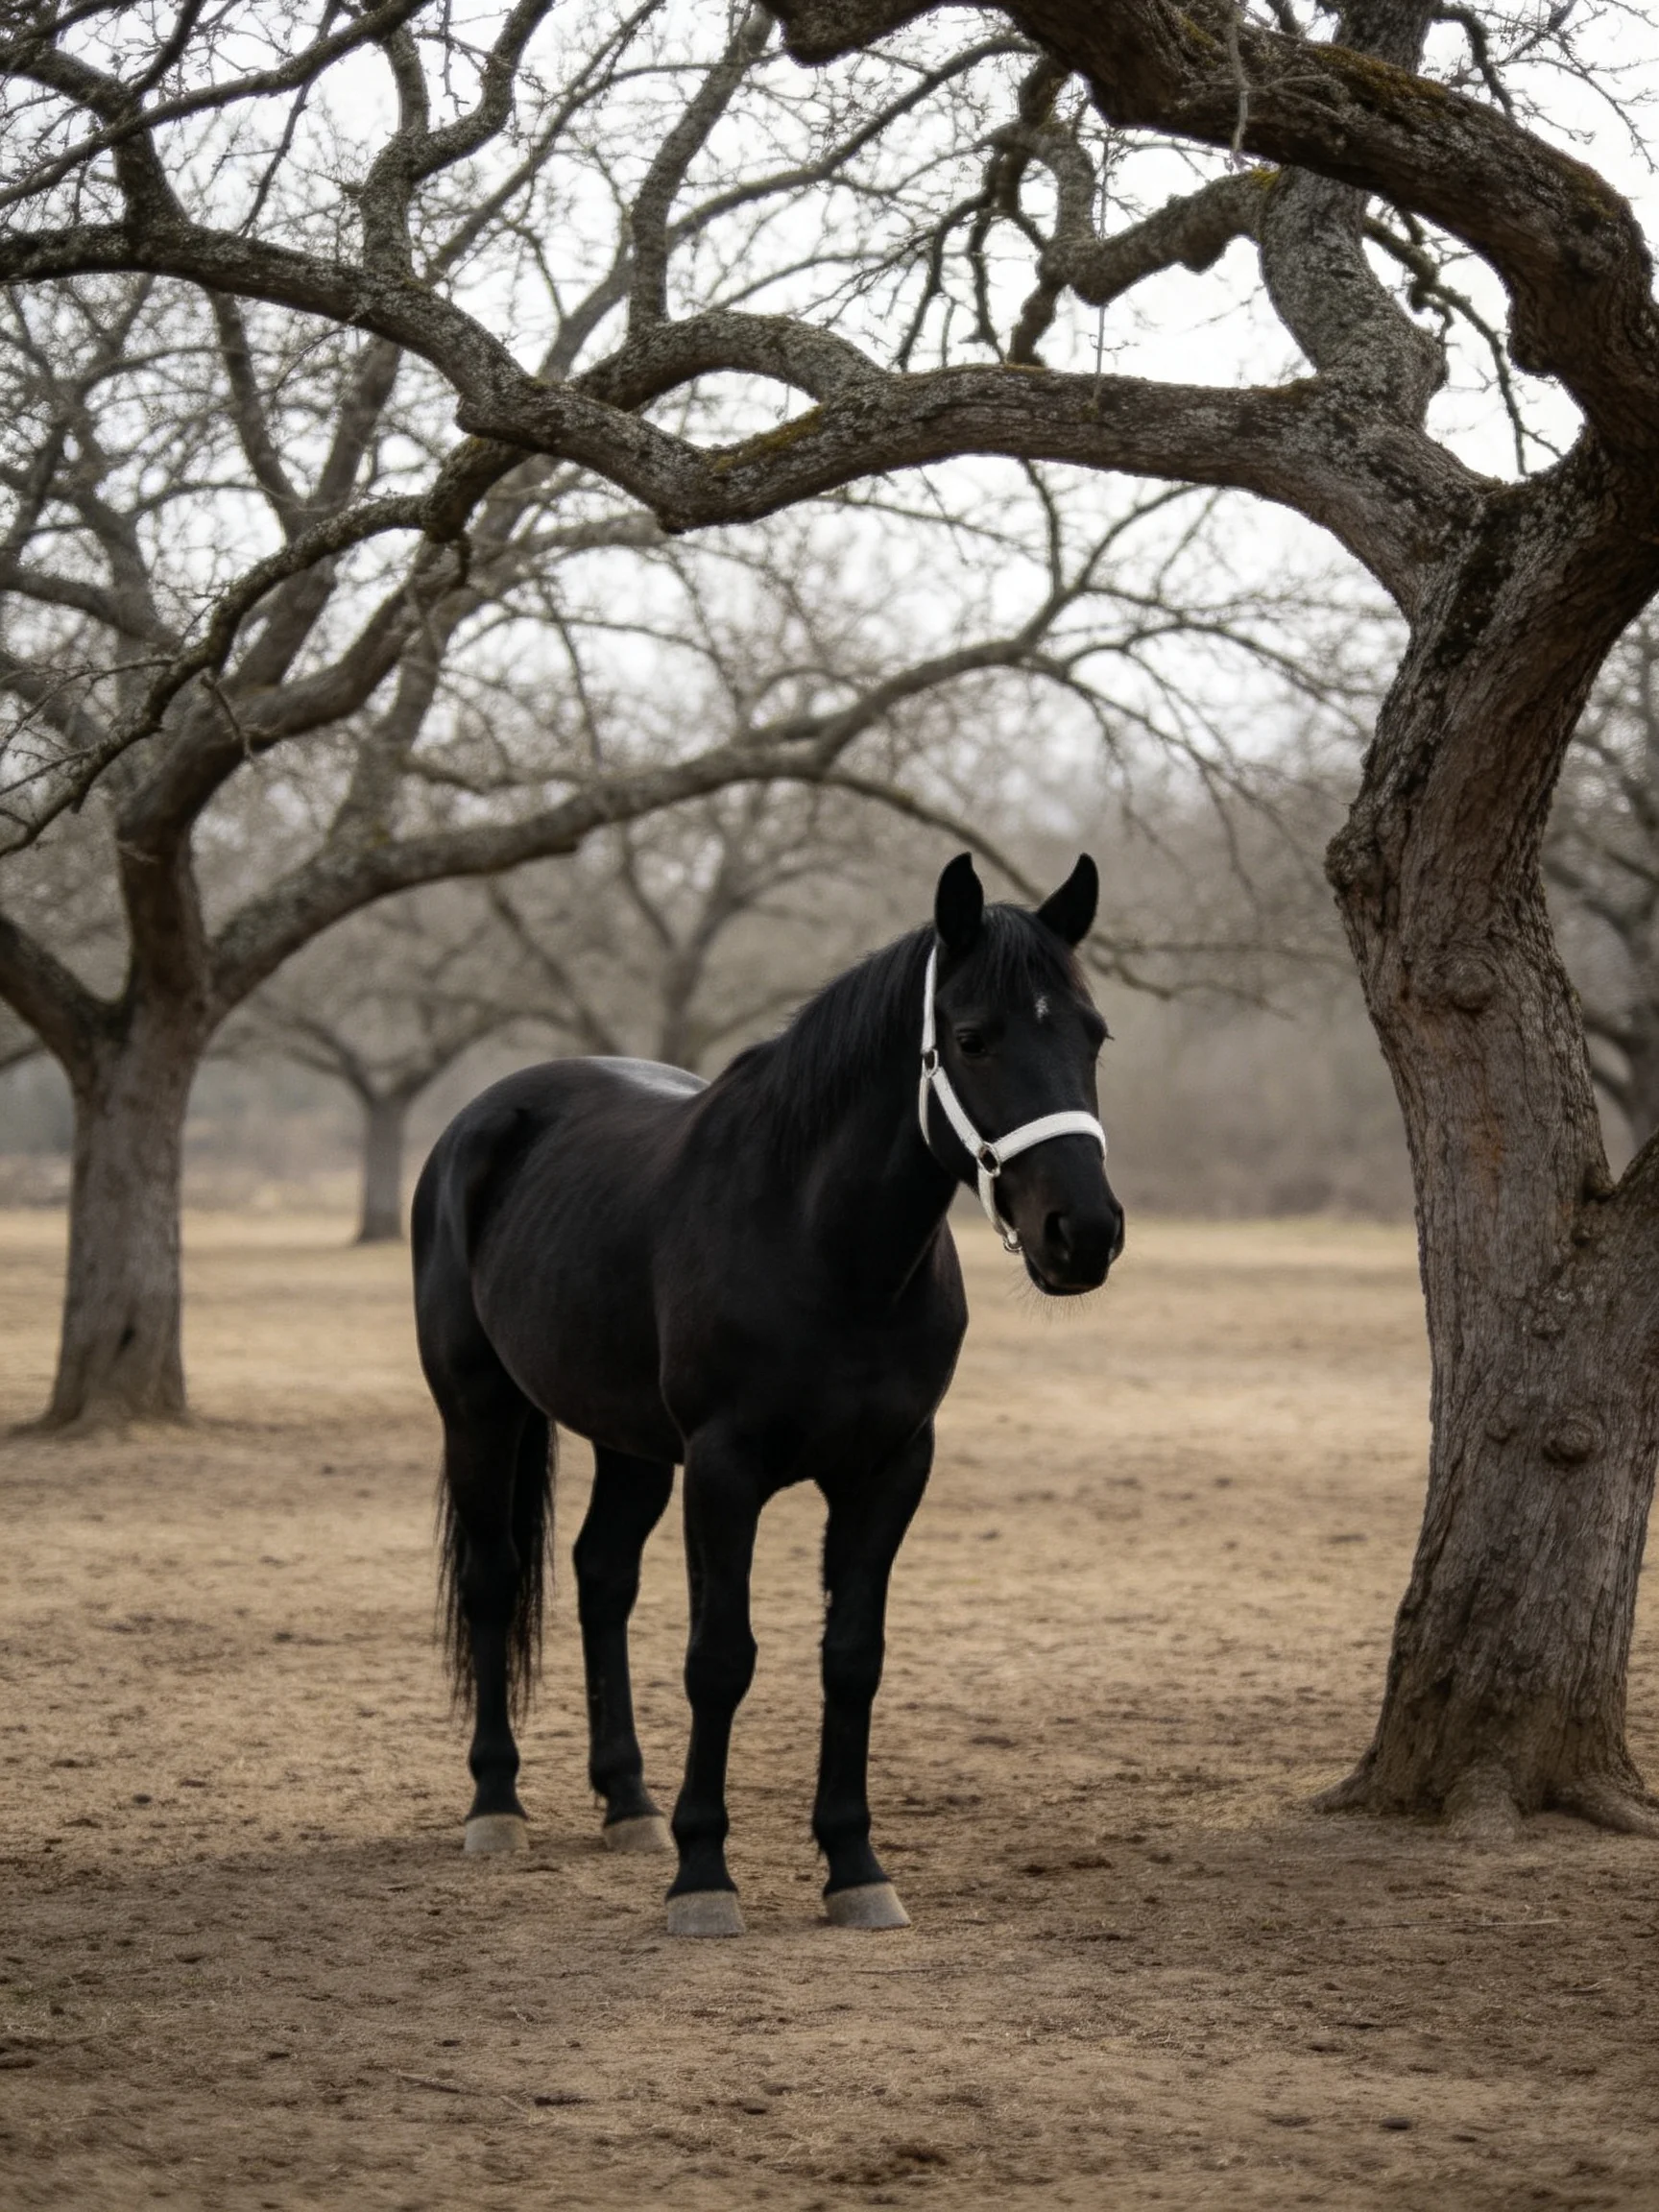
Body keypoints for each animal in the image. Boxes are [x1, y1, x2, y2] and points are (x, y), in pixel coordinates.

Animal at [411, 852, 1124, 1936]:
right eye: (972, 1037)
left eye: (1093, 1034)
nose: (1082, 1234)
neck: (824, 1245)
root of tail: (481, 1120)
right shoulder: (725, 1467)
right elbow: (721, 1657)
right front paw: (705, 1876)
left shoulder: (890, 1468)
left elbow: (852, 1657)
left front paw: (855, 1866)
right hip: (480, 1411)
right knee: (496, 1578)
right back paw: (497, 1802)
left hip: (629, 1443)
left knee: (601, 1577)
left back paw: (629, 1803)